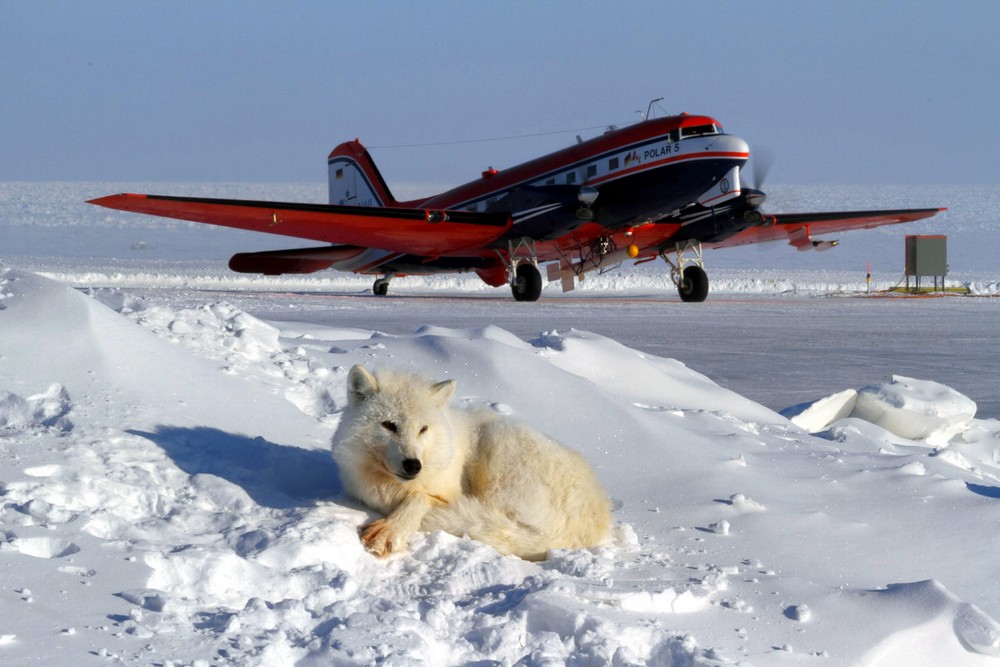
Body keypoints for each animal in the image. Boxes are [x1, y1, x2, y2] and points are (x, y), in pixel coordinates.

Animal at [330, 362, 608, 560]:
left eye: (423, 429)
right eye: (389, 425)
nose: (413, 465)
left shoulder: (446, 491)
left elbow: (421, 498)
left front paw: (391, 530)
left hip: (499, 441)